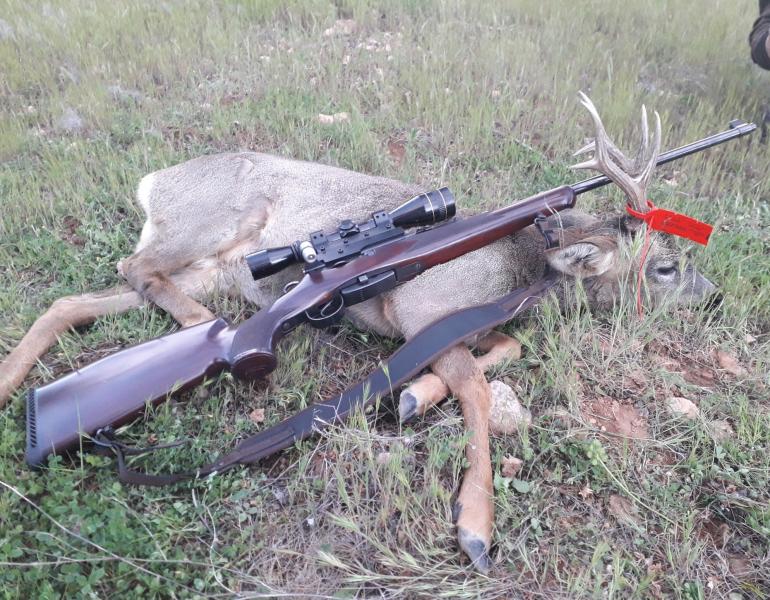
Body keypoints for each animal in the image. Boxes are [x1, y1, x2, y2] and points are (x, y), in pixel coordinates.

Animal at [0, 94, 716, 571]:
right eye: (665, 265)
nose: (712, 293)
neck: (521, 262)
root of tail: (151, 181)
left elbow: (503, 349)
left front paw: (412, 396)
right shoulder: (422, 309)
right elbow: (478, 387)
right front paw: (475, 525)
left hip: (214, 272)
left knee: (74, 301)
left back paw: (22, 395)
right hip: (205, 230)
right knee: (138, 269)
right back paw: (210, 338)